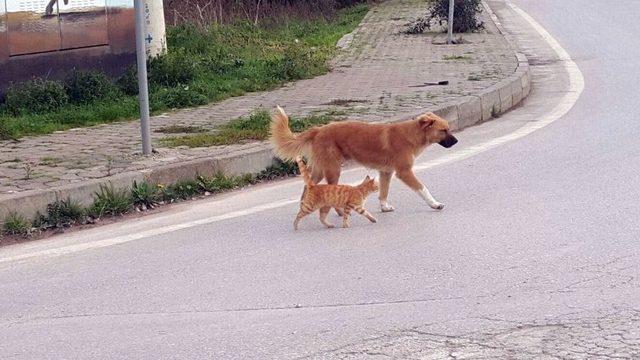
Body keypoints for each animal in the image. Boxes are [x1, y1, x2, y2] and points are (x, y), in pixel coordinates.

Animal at [268, 106, 458, 211]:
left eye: (449, 128)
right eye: (444, 130)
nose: (457, 141)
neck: (411, 135)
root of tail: (318, 130)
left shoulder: (386, 172)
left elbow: (383, 192)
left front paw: (384, 207)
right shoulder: (404, 172)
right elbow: (423, 189)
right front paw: (435, 204)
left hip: (321, 169)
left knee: (307, 187)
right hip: (332, 169)